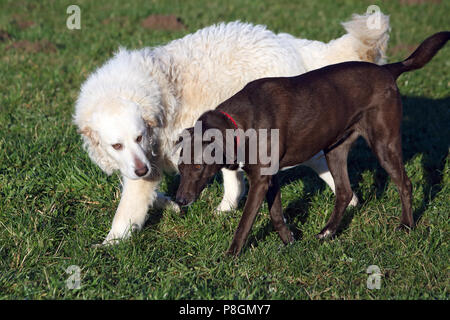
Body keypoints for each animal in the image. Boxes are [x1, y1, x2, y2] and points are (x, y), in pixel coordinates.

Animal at [74, 11, 390, 242]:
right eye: (116, 145)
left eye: (139, 137)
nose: (140, 170)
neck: (126, 89)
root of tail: (289, 43)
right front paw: (171, 205)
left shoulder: (146, 166)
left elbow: (127, 210)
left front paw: (110, 245)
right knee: (237, 179)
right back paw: (226, 208)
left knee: (315, 160)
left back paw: (349, 200)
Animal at [174, 31, 448, 256]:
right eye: (180, 168)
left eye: (198, 167)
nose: (180, 201)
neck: (240, 123)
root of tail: (388, 70)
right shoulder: (270, 177)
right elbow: (276, 214)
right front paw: (289, 241)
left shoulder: (260, 180)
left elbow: (245, 222)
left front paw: (231, 255)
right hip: (335, 149)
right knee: (345, 192)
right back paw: (327, 232)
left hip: (384, 143)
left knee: (404, 183)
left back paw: (406, 226)